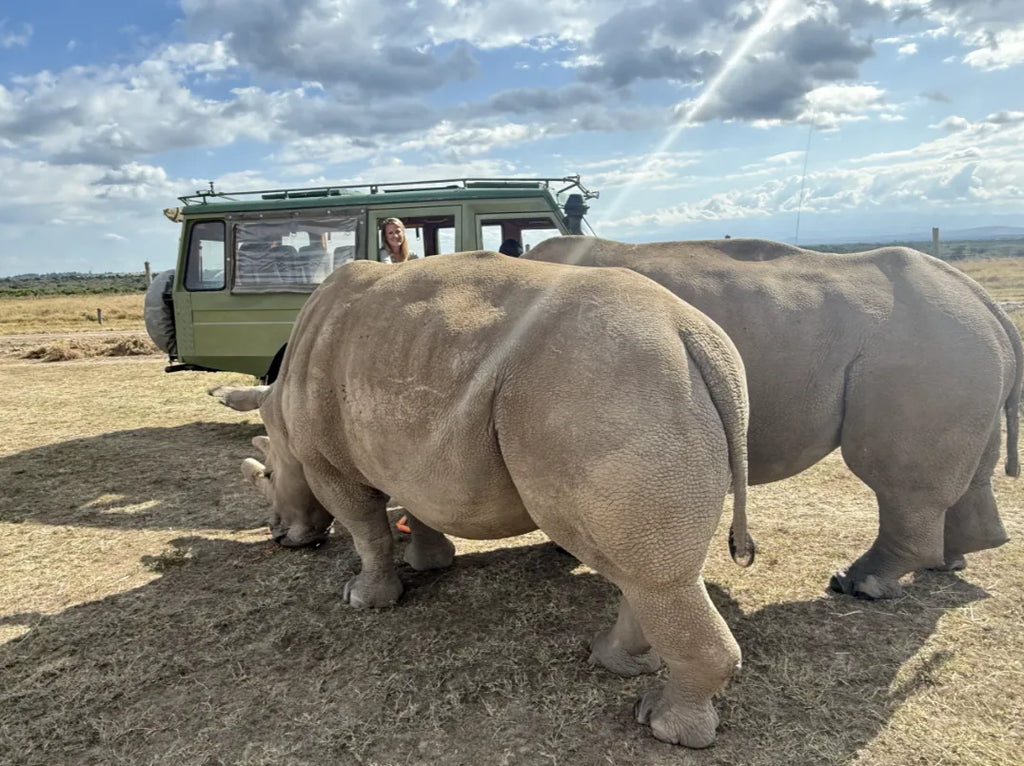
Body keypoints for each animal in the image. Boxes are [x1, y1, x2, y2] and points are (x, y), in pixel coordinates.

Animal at [219, 252, 755, 748]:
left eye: (268, 474)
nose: (280, 535)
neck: (280, 408)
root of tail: (692, 335)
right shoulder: (413, 444)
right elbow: (418, 504)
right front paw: (430, 562)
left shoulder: (327, 462)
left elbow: (366, 530)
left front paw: (362, 599)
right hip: (631, 390)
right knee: (641, 567)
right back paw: (612, 660)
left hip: (608, 392)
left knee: (652, 577)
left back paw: (665, 728)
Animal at [524, 236, 1022, 600]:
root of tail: (981, 298)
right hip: (958, 345)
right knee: (972, 466)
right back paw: (950, 561)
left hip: (929, 348)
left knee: (898, 482)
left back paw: (856, 585)